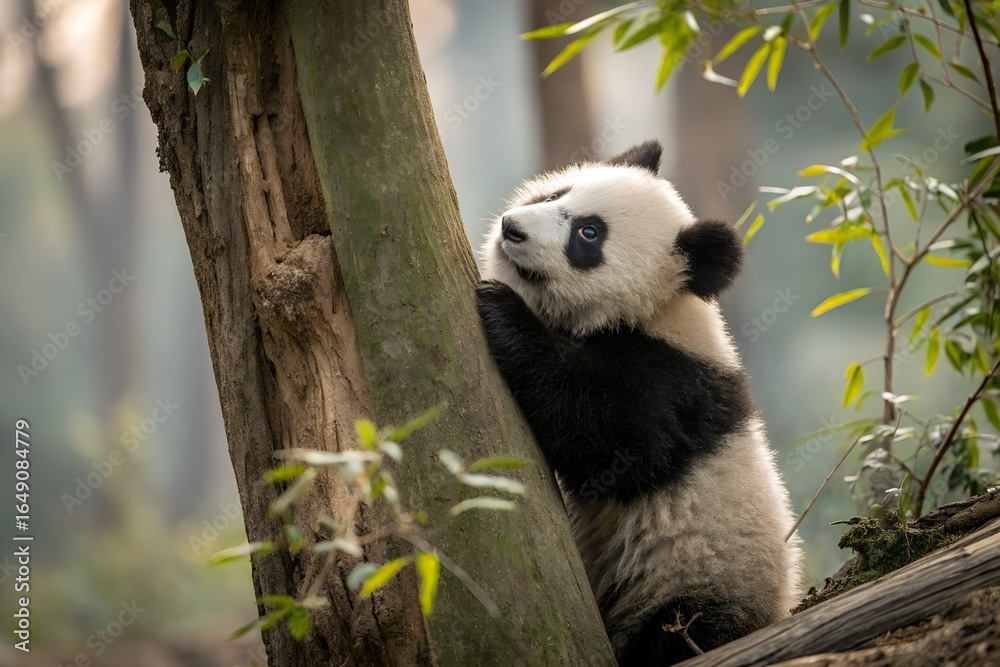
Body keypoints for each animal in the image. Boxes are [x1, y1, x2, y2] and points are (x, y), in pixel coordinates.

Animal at [475, 140, 802, 665]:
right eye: (556, 193)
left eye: (589, 234)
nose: (512, 227)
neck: (656, 311)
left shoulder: (669, 381)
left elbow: (617, 442)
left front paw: (501, 309)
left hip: (697, 586)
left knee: (673, 632)